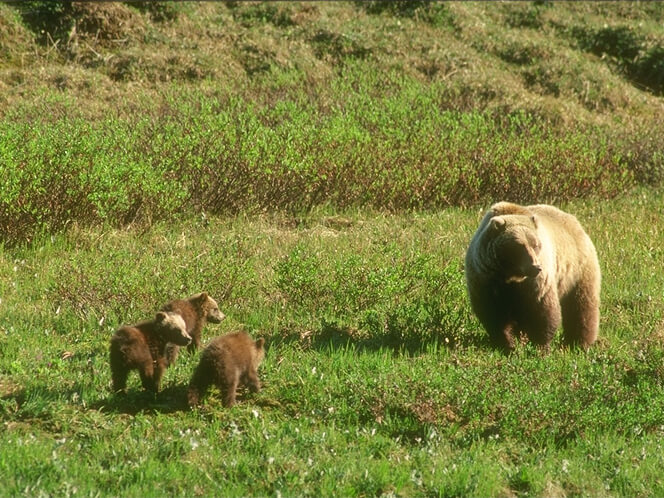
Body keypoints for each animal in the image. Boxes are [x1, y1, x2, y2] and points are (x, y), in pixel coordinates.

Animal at [464, 200, 600, 352]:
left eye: (535, 244)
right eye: (519, 246)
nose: (536, 267)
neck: (510, 275)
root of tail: (574, 221)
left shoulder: (536, 283)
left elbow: (542, 309)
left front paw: (540, 346)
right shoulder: (486, 279)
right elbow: (492, 313)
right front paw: (505, 344)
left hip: (578, 270)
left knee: (582, 305)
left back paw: (578, 343)